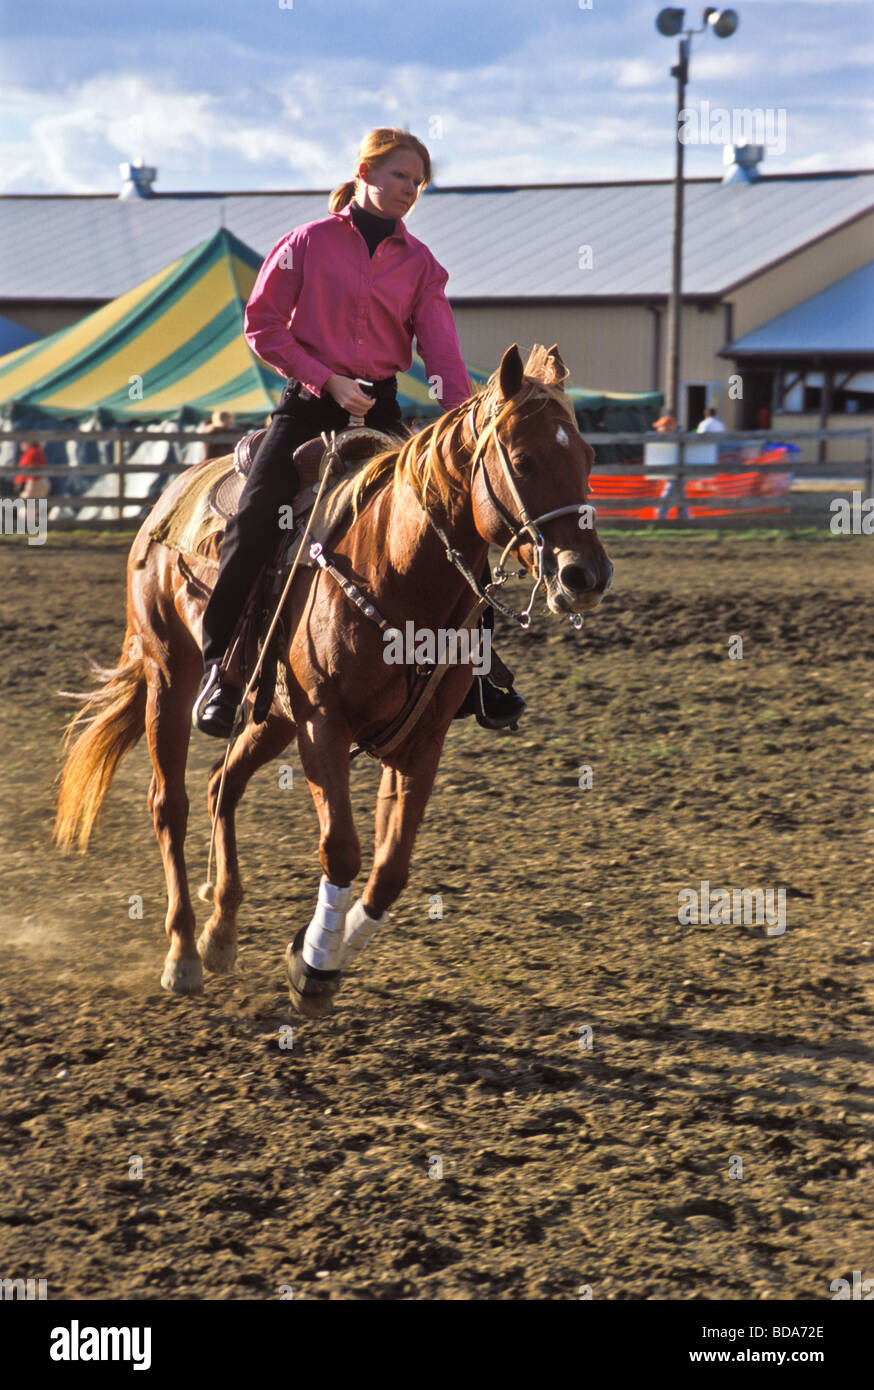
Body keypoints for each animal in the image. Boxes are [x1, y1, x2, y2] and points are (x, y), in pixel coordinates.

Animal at [54, 344, 611, 1023]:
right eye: (525, 461)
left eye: (588, 458)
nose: (586, 576)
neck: (394, 569)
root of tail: (166, 500)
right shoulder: (323, 721)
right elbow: (341, 848)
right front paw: (315, 964)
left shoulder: (420, 740)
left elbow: (391, 868)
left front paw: (325, 950)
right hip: (170, 675)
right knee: (172, 803)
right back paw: (183, 951)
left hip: (272, 716)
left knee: (221, 786)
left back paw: (220, 934)